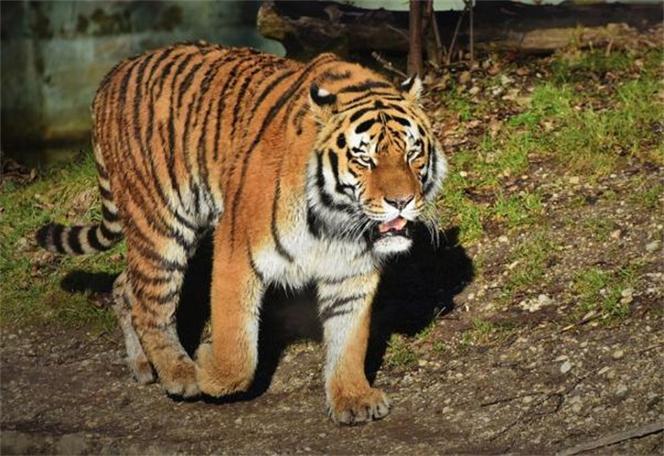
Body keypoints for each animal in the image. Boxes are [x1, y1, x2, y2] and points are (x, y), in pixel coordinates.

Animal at [36, 42, 447, 425]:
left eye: (413, 153)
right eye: (364, 159)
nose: (401, 201)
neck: (336, 219)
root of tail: (113, 74)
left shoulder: (351, 271)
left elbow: (349, 339)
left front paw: (352, 398)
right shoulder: (237, 252)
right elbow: (238, 350)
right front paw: (207, 368)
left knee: (126, 285)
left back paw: (143, 366)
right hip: (162, 225)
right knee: (151, 304)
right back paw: (179, 373)